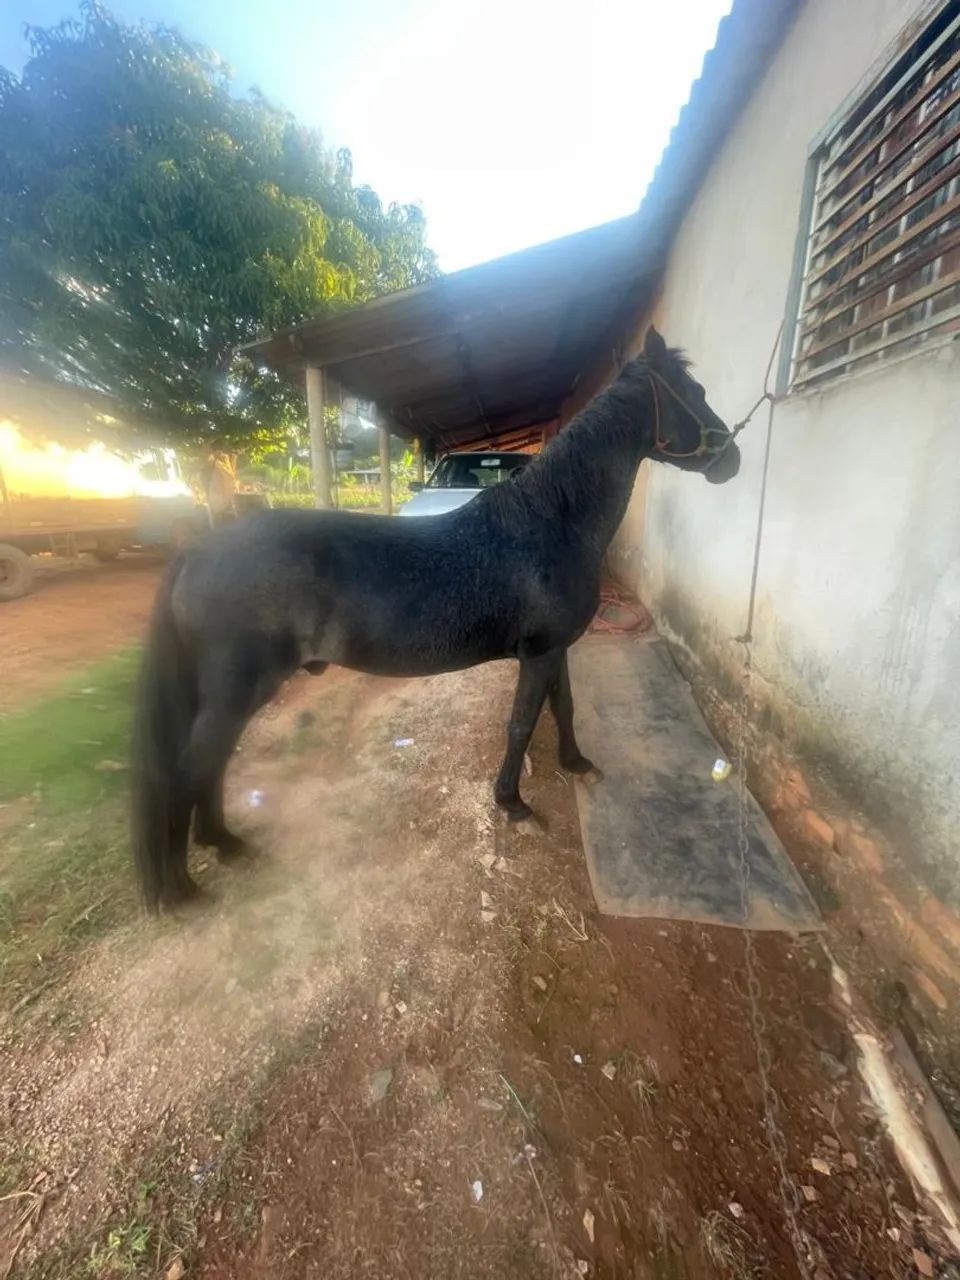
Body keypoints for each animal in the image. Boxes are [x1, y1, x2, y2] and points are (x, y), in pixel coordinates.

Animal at [131, 327, 741, 911]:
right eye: (693, 393)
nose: (731, 459)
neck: (551, 523)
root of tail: (198, 550)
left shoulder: (557, 647)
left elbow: (562, 706)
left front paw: (576, 762)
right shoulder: (540, 651)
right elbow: (521, 723)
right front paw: (512, 803)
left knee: (210, 764)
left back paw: (223, 843)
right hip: (237, 690)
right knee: (190, 769)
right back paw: (183, 887)